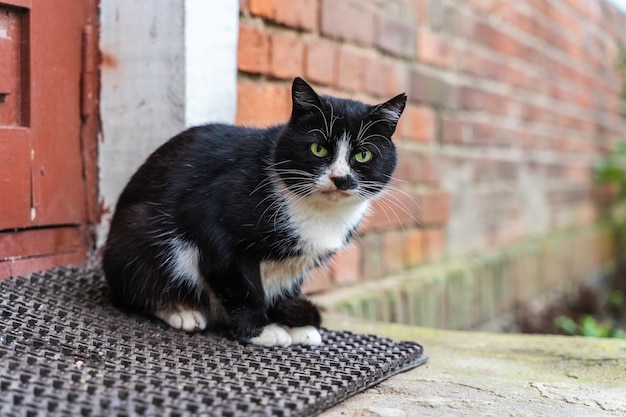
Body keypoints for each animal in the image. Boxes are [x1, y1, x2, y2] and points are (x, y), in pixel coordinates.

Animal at [102, 76, 404, 346]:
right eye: (318, 149)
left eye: (363, 154)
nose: (339, 178)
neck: (320, 212)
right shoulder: (214, 223)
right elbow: (241, 285)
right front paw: (261, 330)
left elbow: (285, 289)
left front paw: (291, 324)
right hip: (139, 229)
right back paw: (181, 311)